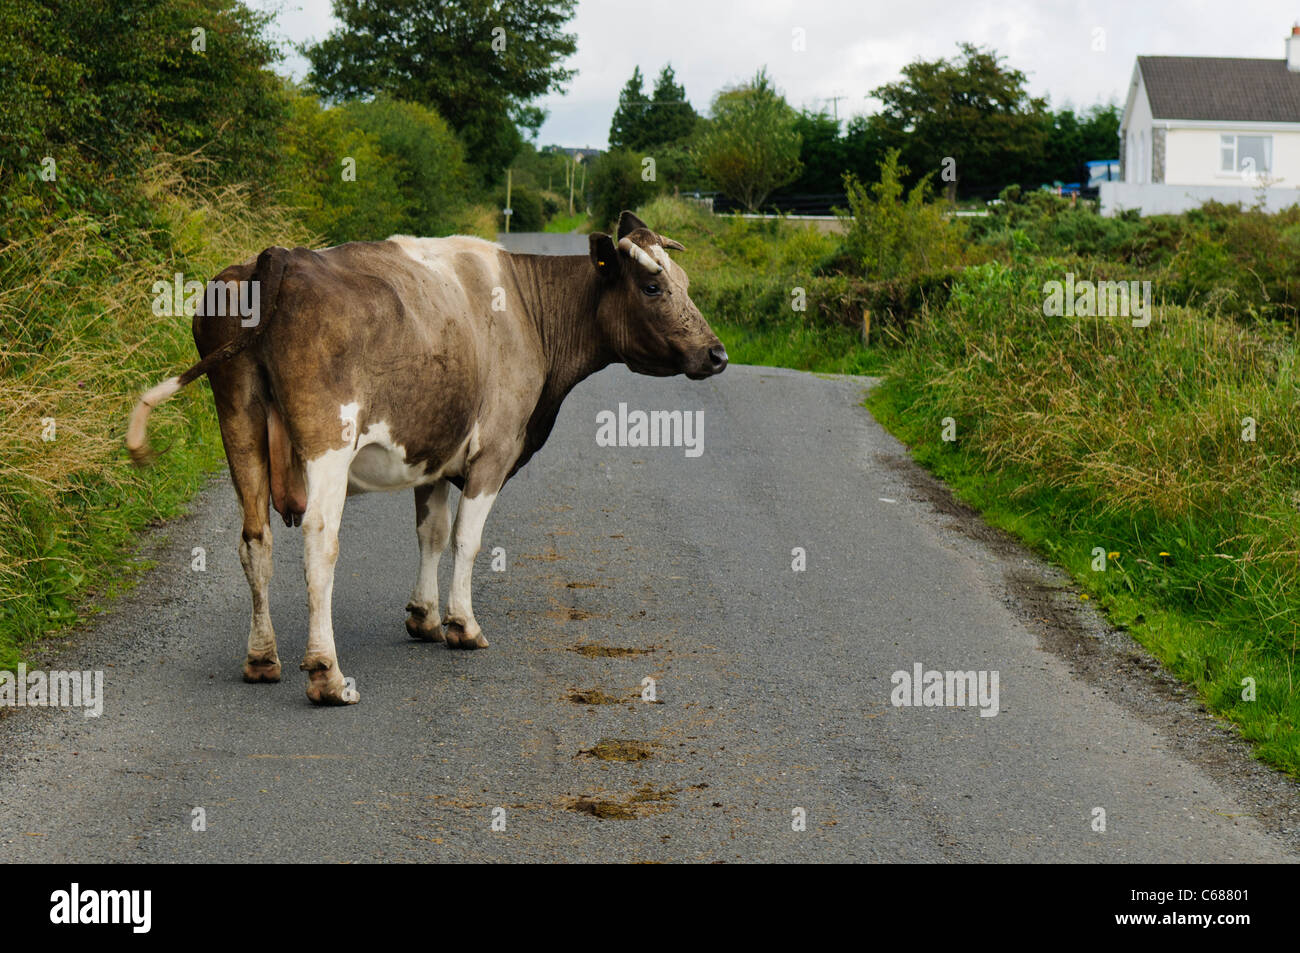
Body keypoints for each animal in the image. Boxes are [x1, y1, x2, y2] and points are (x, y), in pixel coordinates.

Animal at [125, 215, 728, 707]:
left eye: (686, 284)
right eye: (653, 286)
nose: (718, 354)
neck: (528, 309)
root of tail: (279, 256)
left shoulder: (432, 451)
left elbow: (432, 532)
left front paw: (424, 617)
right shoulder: (495, 448)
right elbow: (467, 538)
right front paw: (462, 625)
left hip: (238, 424)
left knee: (256, 541)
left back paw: (261, 658)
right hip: (328, 437)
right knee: (320, 540)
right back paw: (327, 675)